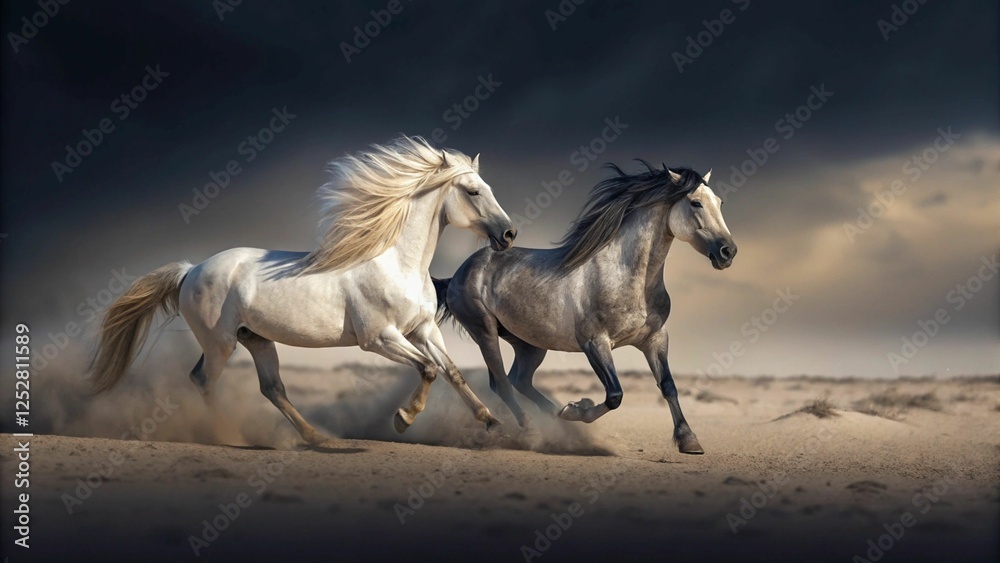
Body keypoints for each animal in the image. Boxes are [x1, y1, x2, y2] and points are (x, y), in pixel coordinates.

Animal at [90, 135, 518, 445]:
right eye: (473, 191)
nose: (509, 234)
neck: (397, 264)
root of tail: (190, 270)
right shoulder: (380, 338)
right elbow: (428, 369)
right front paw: (402, 419)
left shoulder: (422, 330)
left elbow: (451, 372)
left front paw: (492, 422)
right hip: (220, 342)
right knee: (204, 380)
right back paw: (228, 436)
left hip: (256, 340)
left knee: (272, 388)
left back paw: (315, 437)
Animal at [435, 162, 736, 454]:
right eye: (696, 203)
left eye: (719, 202)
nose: (728, 252)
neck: (628, 278)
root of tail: (458, 273)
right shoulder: (595, 343)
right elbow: (615, 395)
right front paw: (578, 410)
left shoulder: (655, 339)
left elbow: (668, 387)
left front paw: (689, 440)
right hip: (484, 331)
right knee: (502, 383)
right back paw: (534, 430)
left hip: (529, 343)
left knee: (519, 379)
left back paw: (558, 417)